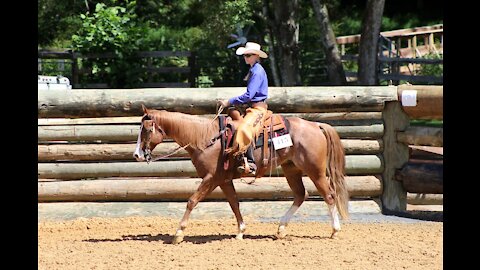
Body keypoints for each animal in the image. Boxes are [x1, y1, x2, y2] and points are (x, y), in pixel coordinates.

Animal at [133, 104, 346, 244]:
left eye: (147, 129)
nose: (137, 155)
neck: (206, 137)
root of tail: (316, 125)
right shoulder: (224, 180)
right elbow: (234, 203)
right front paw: (241, 232)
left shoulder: (211, 178)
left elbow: (192, 201)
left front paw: (178, 233)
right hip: (291, 169)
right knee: (301, 195)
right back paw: (281, 228)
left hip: (315, 171)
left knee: (329, 195)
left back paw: (335, 231)